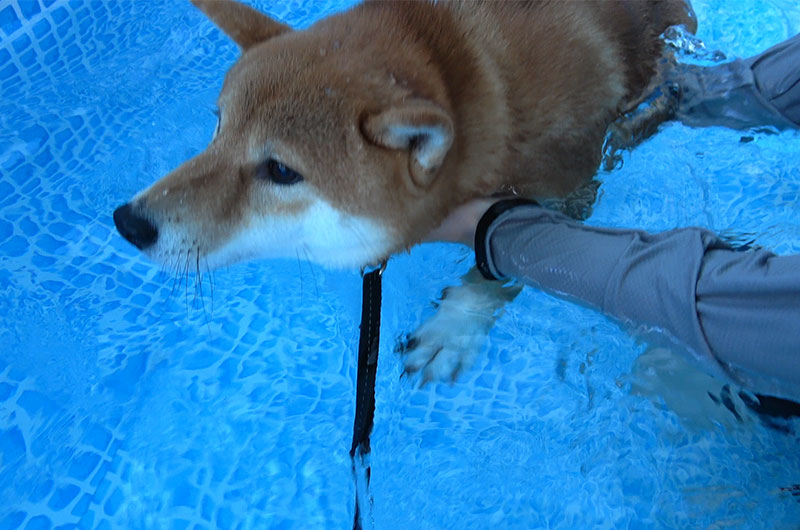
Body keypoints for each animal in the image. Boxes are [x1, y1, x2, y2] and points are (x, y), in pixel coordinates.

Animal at [112, 0, 692, 380]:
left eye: (280, 171)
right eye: (219, 127)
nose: (128, 222)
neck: (475, 82)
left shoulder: (569, 191)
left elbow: (505, 267)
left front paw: (453, 330)